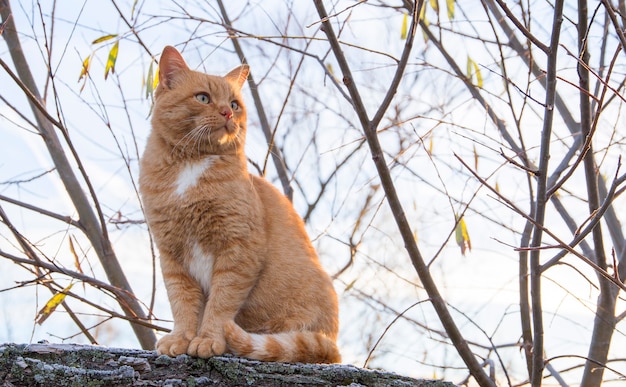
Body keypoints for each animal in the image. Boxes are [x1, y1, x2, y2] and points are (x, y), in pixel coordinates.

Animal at [138, 47, 338, 366]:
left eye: (234, 103)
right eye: (203, 98)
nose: (228, 113)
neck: (190, 167)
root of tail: (332, 342)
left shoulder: (239, 250)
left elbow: (220, 303)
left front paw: (208, 339)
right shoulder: (173, 257)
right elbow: (182, 303)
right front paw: (182, 338)